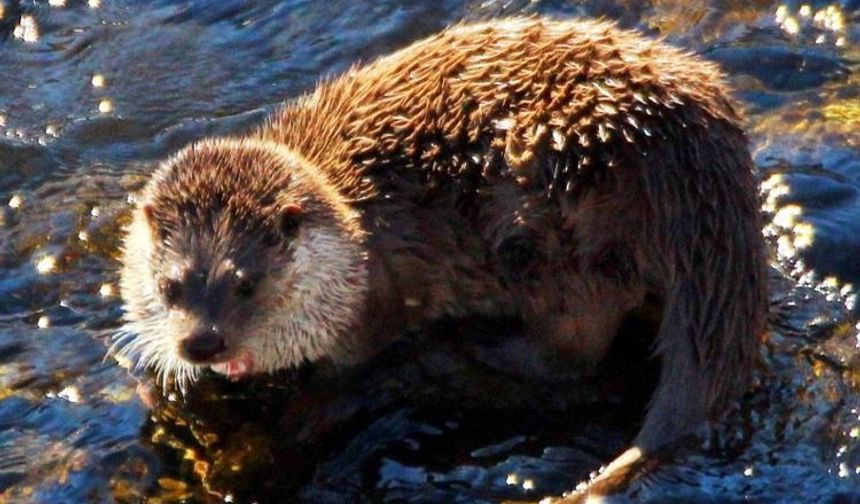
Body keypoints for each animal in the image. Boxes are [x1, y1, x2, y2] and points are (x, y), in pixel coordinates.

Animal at [112, 16, 764, 500]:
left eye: (246, 283)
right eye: (170, 287)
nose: (202, 342)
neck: (354, 241)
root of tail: (691, 154)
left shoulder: (366, 315)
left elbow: (337, 378)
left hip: (550, 225)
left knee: (575, 343)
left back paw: (461, 349)